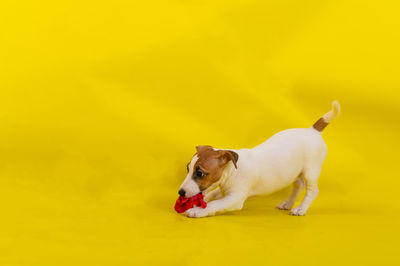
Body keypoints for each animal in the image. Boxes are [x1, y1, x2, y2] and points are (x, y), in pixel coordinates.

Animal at [180, 101, 340, 217]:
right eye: (188, 169)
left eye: (200, 173)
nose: (180, 192)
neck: (232, 171)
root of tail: (313, 131)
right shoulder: (224, 190)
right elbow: (211, 194)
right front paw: (198, 203)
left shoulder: (234, 198)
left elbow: (214, 204)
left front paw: (197, 211)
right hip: (297, 172)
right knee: (298, 186)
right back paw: (287, 203)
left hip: (311, 171)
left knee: (312, 191)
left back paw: (301, 209)